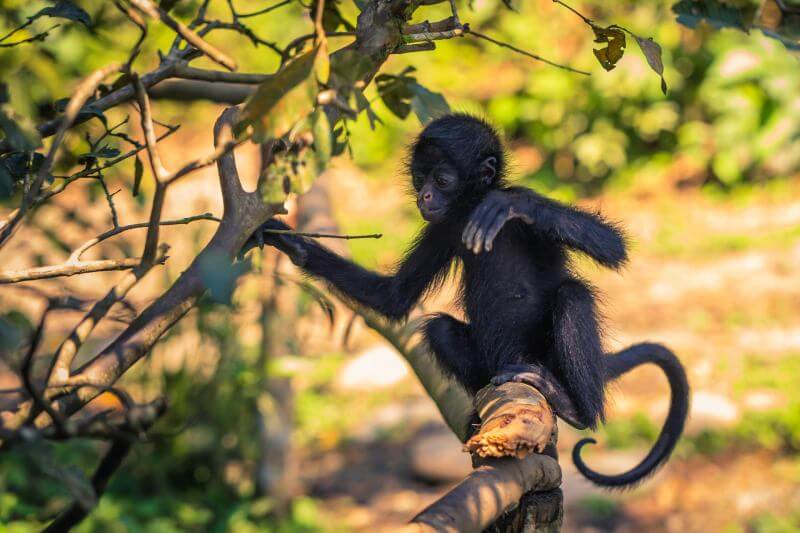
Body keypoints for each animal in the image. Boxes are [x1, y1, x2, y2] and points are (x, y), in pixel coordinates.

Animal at [242, 113, 689, 487]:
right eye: (419, 177)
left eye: (441, 180)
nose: (423, 197)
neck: (469, 206)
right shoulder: (445, 226)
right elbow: (394, 297)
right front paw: (286, 241)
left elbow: (612, 247)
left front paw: (511, 204)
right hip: (489, 362)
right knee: (439, 327)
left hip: (549, 357)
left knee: (572, 294)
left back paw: (577, 409)